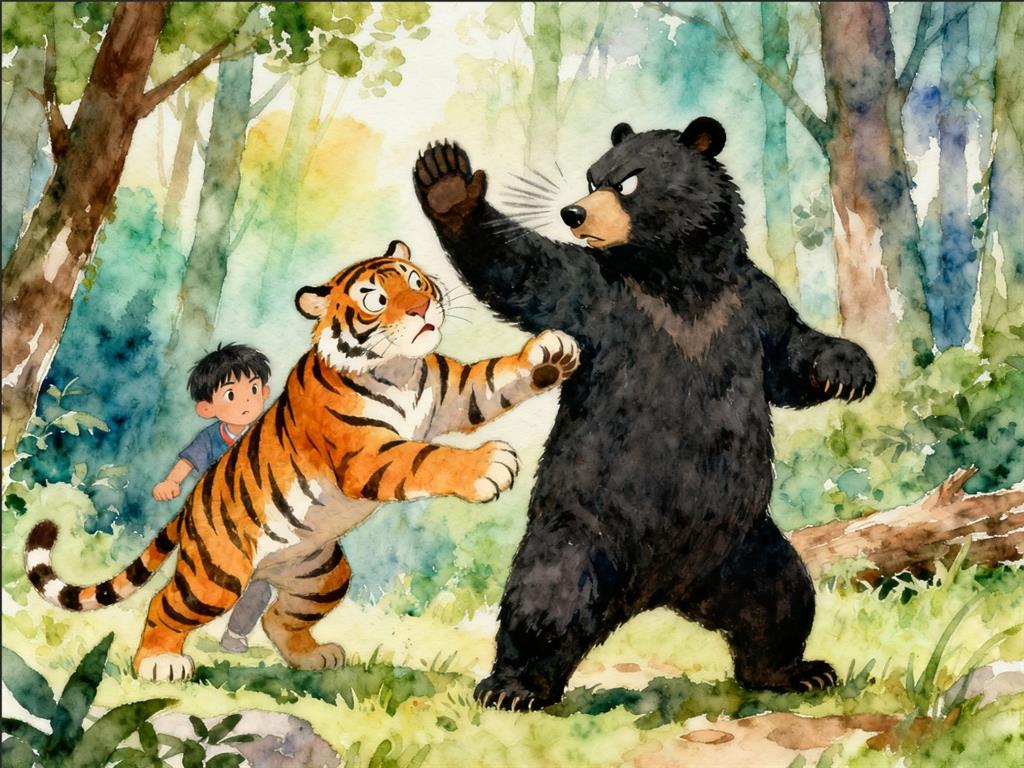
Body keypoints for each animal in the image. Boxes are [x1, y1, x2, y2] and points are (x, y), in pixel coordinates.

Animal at [24, 240, 579, 682]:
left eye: (416, 280)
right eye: (375, 298)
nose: (423, 307)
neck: (400, 369)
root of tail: (191, 504)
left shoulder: (454, 393)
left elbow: (493, 380)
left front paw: (550, 354)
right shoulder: (367, 455)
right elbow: (425, 458)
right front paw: (488, 465)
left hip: (321, 575)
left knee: (276, 617)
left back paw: (315, 657)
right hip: (215, 577)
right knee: (165, 605)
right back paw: (160, 663)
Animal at [412, 118, 877, 710]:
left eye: (628, 181)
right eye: (593, 177)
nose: (574, 213)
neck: (677, 277)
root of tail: (658, 591)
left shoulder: (748, 301)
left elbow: (788, 356)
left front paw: (849, 367)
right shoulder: (602, 298)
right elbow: (526, 271)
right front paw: (448, 183)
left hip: (743, 548)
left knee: (781, 600)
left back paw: (793, 671)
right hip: (584, 533)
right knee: (544, 601)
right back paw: (513, 687)